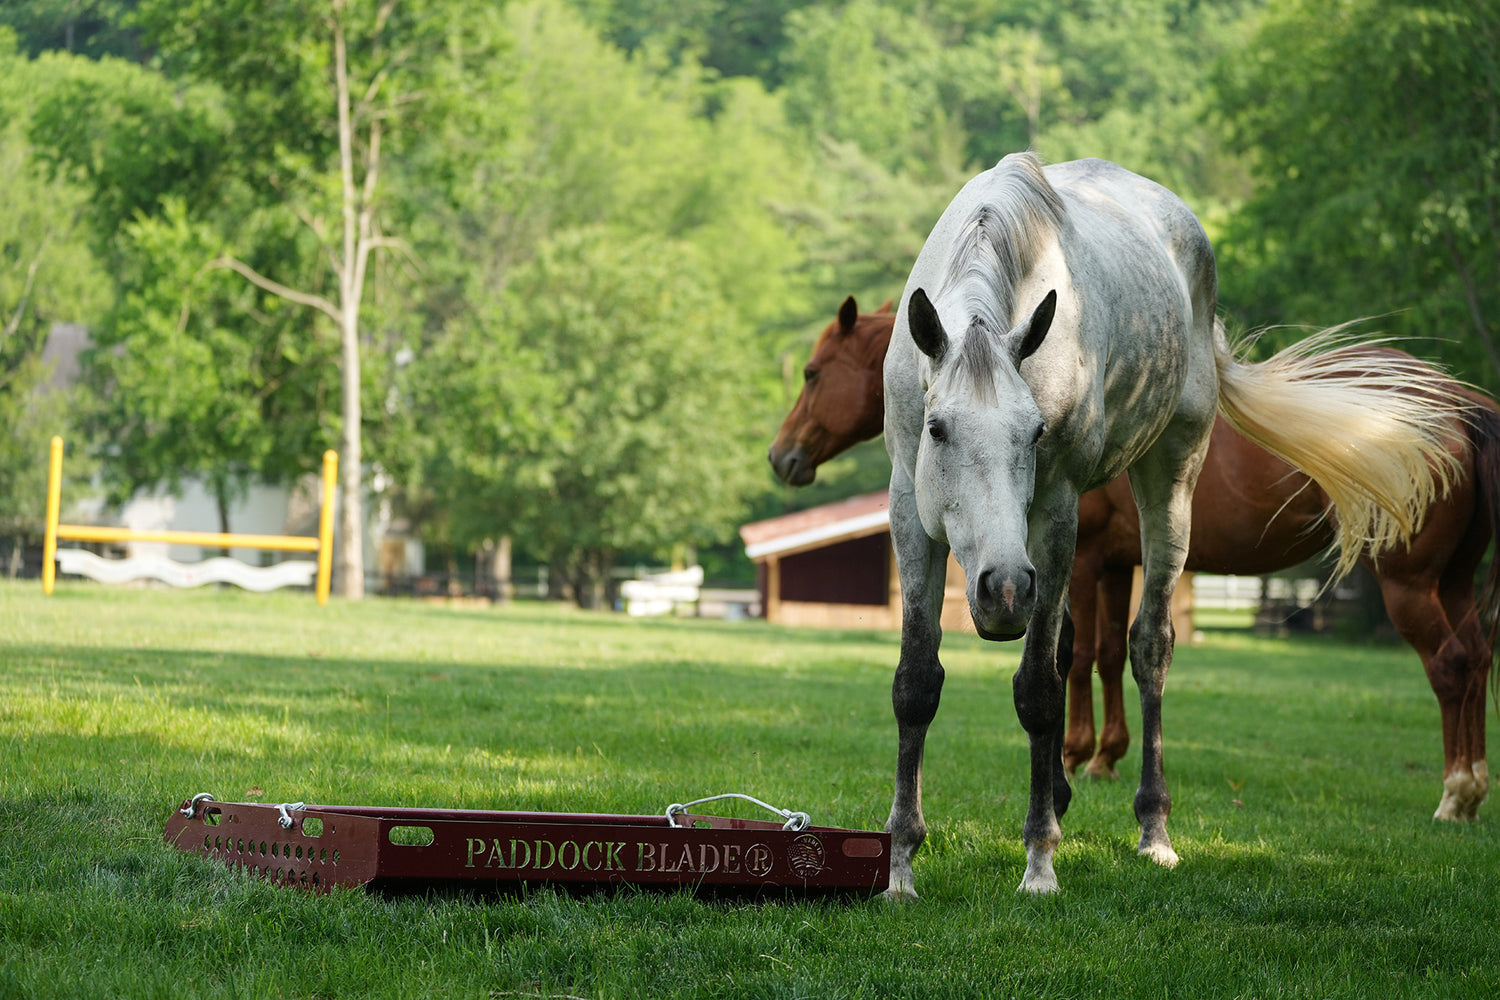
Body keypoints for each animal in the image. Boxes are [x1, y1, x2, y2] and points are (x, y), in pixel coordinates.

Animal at [774, 295, 1500, 821]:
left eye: (812, 374)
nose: (782, 457)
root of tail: (1464, 407)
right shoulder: (1119, 565)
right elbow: (1110, 655)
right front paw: (1104, 756)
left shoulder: (1084, 559)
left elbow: (1077, 654)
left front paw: (1073, 762)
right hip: (1454, 581)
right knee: (1476, 656)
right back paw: (1473, 788)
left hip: (1409, 583)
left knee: (1451, 663)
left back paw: (1455, 793)